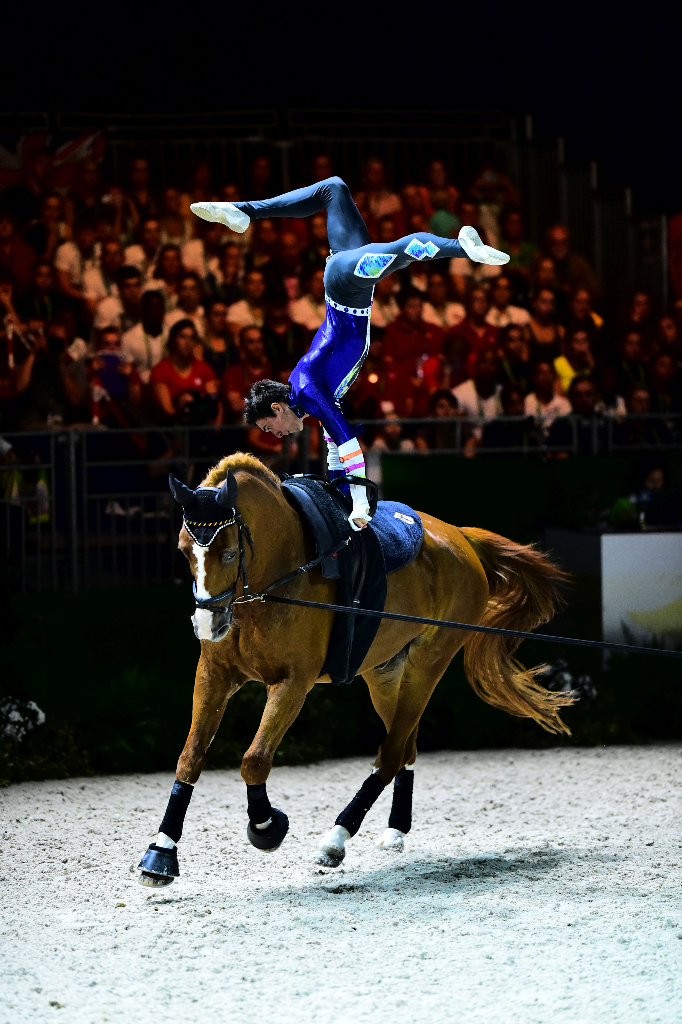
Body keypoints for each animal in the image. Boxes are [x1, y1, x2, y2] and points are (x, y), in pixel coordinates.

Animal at [138, 452, 569, 884]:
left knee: (391, 754)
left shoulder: (292, 683)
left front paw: (266, 827)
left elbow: (254, 759)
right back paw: (394, 831)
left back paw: (335, 840)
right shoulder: (214, 675)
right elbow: (190, 756)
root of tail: (460, 536)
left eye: (228, 553)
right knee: (405, 745)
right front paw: (160, 853)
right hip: (384, 673)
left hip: (427, 663)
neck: (271, 583)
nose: (207, 625)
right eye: (183, 551)